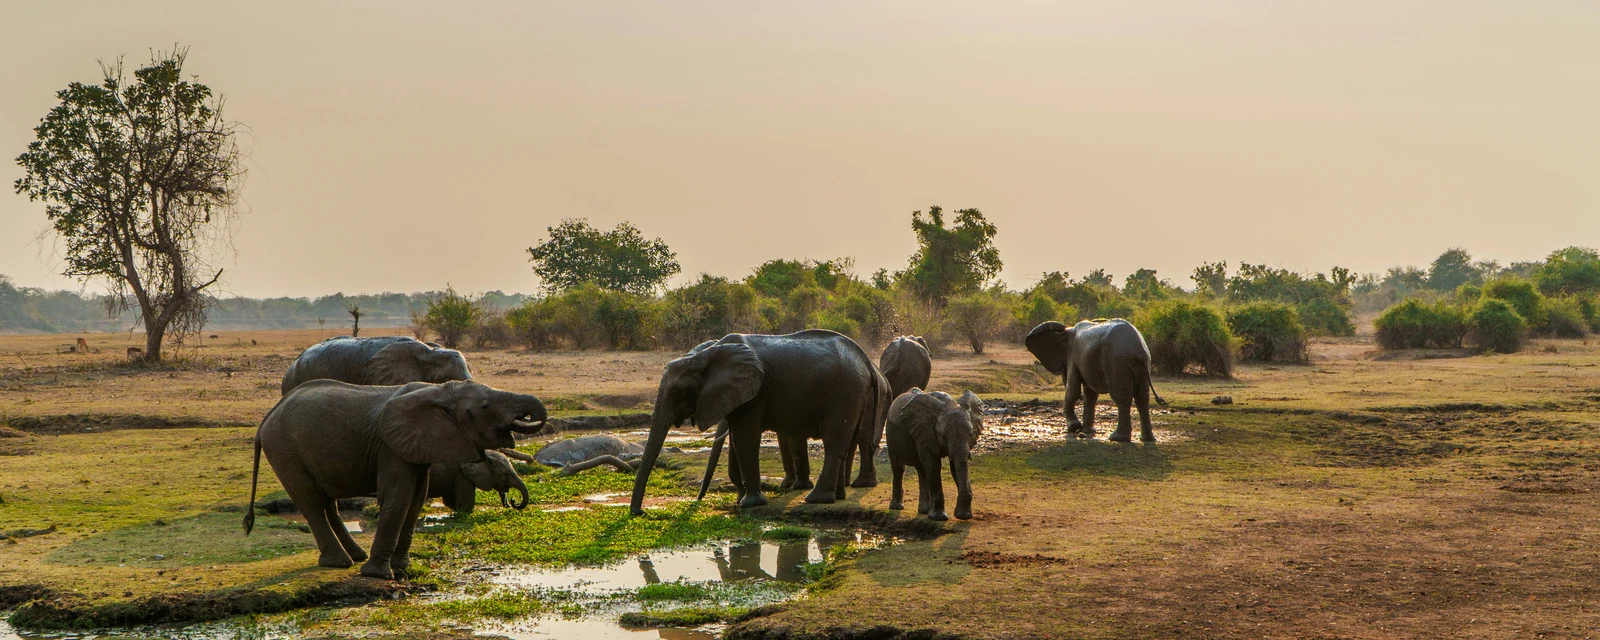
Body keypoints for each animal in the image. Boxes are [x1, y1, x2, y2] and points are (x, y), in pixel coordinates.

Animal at [244, 380, 546, 579]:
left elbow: (416, 499)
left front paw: (402, 567)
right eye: (485, 406)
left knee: (329, 503)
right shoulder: (390, 446)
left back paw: (356, 556)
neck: (440, 391)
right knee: (312, 504)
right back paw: (340, 563)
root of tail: (265, 420)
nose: (512, 502)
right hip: (284, 451)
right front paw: (378, 575)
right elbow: (399, 497)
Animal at [630, 330, 884, 515]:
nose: (641, 512)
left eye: (676, 391)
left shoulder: (754, 393)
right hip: (853, 394)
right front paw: (742, 498)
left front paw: (749, 503)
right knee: (846, 441)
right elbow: (737, 439)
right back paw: (837, 497)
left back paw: (816, 499)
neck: (704, 354)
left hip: (844, 393)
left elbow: (745, 438)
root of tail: (867, 362)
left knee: (834, 442)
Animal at [886, 389, 983, 521]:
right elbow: (933, 465)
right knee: (898, 469)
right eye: (943, 436)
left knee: (921, 471)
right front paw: (939, 518)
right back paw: (897, 507)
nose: (963, 516)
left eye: (970, 434)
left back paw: (924, 510)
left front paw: (964, 515)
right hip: (890, 433)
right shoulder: (925, 431)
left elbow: (954, 466)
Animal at [1025, 319, 1167, 443]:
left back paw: (1117, 438)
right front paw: (1086, 431)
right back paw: (1147, 439)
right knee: (1142, 398)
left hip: (1117, 364)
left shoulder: (1073, 356)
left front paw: (1073, 428)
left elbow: (1073, 390)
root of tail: (1140, 351)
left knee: (1121, 397)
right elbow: (1090, 394)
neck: (1067, 330)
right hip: (1141, 366)